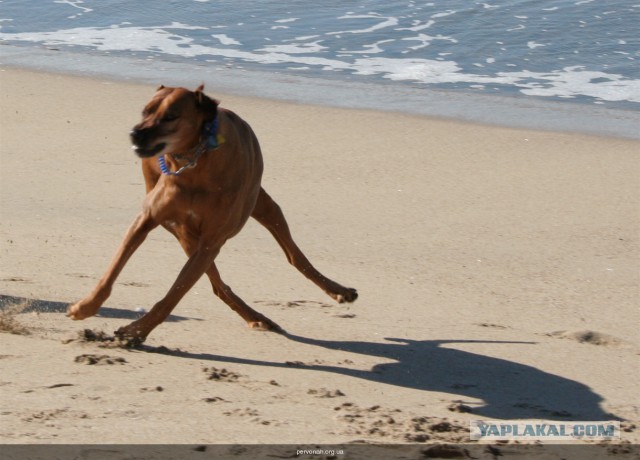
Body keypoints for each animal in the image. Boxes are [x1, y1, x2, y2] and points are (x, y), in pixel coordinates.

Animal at [67, 84, 358, 342]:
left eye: (171, 116)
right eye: (145, 111)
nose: (134, 133)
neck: (195, 163)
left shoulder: (211, 241)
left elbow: (173, 295)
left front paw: (136, 332)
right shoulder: (148, 219)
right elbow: (113, 269)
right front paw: (85, 306)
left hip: (262, 206)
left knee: (293, 255)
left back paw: (337, 291)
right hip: (183, 231)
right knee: (218, 283)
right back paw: (255, 316)